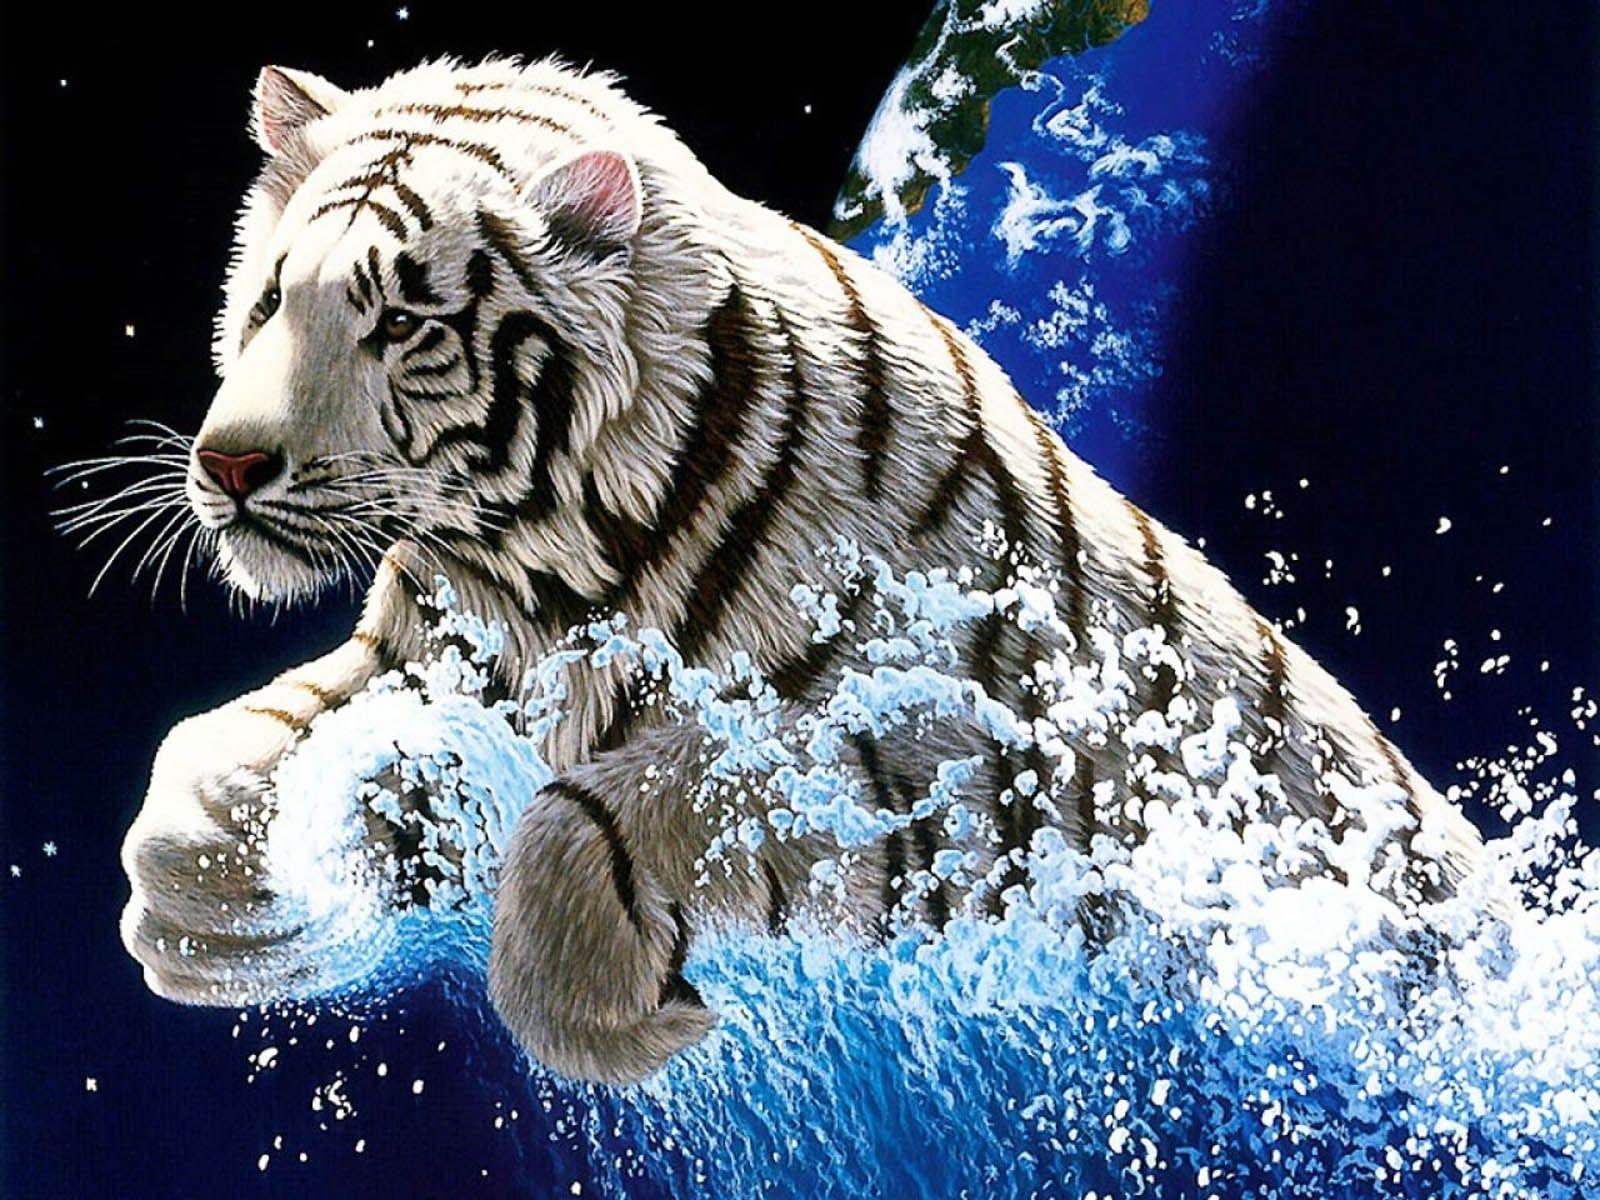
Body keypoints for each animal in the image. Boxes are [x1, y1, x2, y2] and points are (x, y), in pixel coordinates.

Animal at [117, 57, 1487, 1086]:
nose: (229, 465)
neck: (537, 564)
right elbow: (224, 745)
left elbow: (614, 808)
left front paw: (622, 1018)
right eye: (269, 303)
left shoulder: (947, 773)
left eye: (401, 325)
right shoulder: (429, 657)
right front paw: (203, 903)